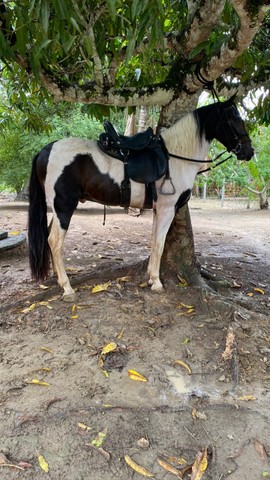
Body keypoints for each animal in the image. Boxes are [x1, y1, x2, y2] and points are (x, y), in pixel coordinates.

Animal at [27, 95, 253, 302]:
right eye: (233, 120)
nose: (249, 151)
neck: (174, 156)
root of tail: (45, 151)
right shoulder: (167, 209)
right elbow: (160, 244)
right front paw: (157, 283)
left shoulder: (157, 210)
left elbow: (154, 242)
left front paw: (152, 278)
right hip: (64, 207)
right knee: (54, 241)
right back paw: (67, 287)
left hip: (57, 209)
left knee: (50, 238)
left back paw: (58, 279)